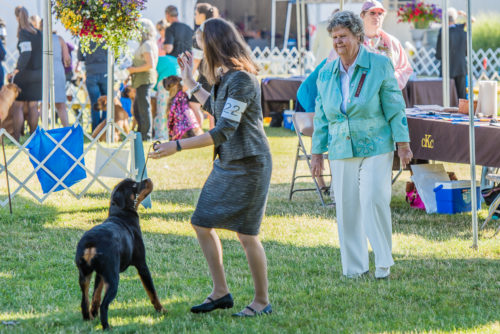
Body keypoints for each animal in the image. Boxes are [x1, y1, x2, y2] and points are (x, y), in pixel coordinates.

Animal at [75, 179, 164, 330]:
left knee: (84, 300)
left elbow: (96, 295)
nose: (148, 179)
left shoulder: (100, 274)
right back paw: (107, 327)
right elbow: (152, 291)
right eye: (134, 185)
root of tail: (91, 243)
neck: (120, 215)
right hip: (113, 278)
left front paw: (94, 313)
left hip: (84, 275)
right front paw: (162, 310)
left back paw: (89, 318)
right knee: (105, 305)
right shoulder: (142, 265)